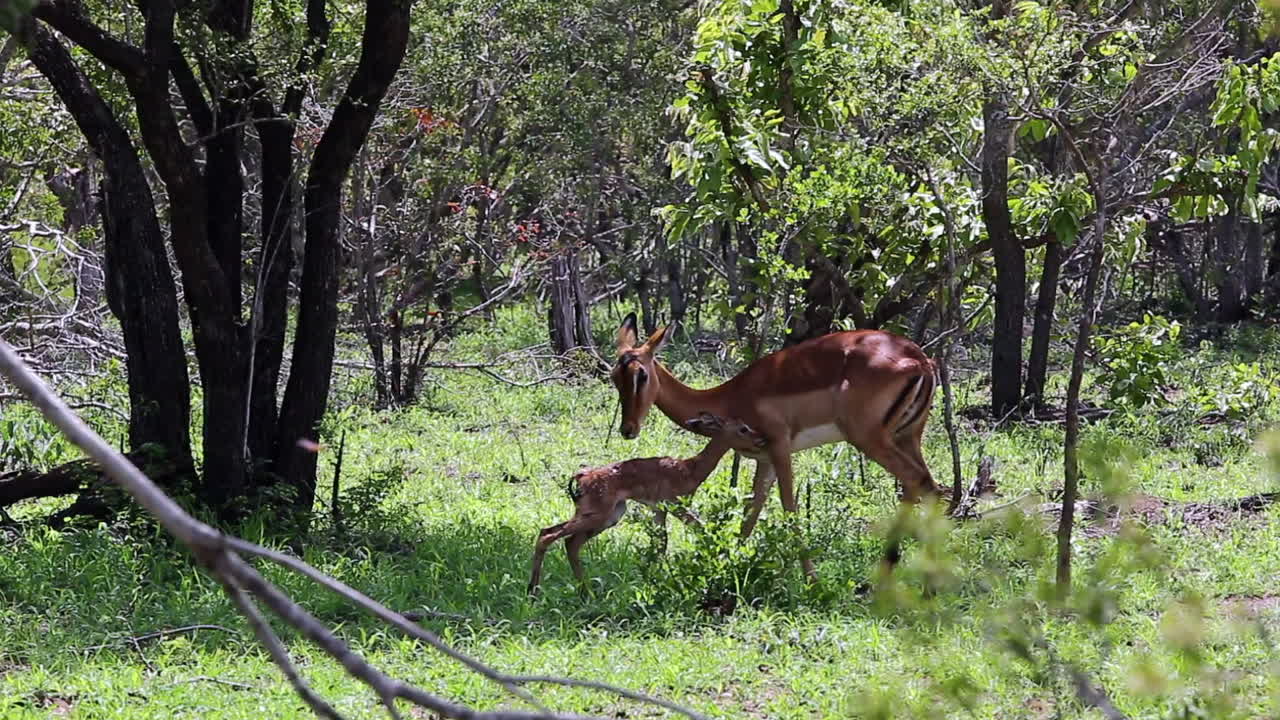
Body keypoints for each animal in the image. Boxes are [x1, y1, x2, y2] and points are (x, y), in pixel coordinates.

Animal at [527, 412, 766, 596]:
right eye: (743, 429)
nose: (761, 440)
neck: (690, 469)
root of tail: (582, 476)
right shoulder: (675, 505)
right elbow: (700, 528)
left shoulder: (658, 509)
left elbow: (661, 544)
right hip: (597, 514)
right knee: (549, 534)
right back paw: (535, 591)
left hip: (610, 515)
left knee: (569, 542)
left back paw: (583, 593)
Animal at [610, 313, 939, 582]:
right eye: (614, 376)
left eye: (641, 375)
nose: (628, 429)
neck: (732, 396)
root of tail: (920, 360)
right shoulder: (763, 458)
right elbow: (751, 512)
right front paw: (731, 565)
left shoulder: (780, 447)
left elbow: (788, 507)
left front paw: (811, 581)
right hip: (907, 437)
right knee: (928, 486)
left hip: (869, 439)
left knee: (916, 481)